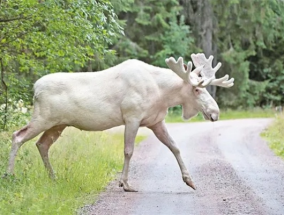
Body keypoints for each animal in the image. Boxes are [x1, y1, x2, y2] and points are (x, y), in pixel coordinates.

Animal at [6, 53, 233, 191]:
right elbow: (128, 151)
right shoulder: (132, 117)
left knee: (42, 144)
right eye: (196, 89)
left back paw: (53, 178)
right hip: (43, 118)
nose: (215, 112)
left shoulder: (156, 121)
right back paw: (10, 175)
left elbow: (175, 147)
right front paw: (125, 184)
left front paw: (190, 180)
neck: (162, 94)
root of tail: (35, 88)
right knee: (17, 136)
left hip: (57, 124)